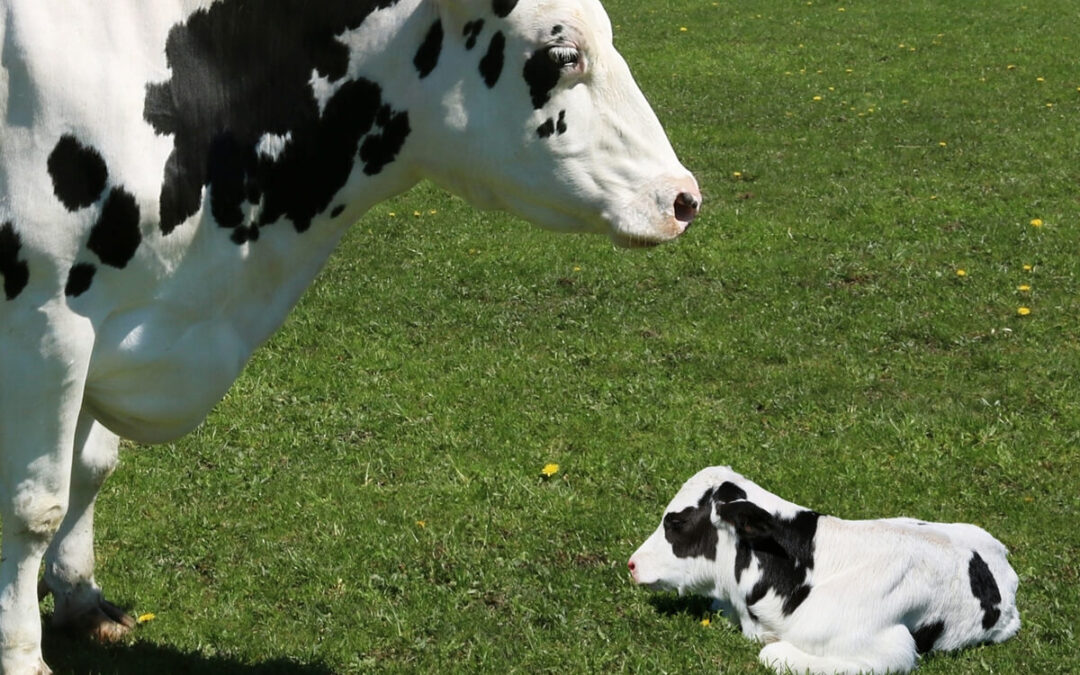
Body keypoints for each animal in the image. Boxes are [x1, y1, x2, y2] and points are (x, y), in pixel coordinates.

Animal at [0, 1, 699, 669]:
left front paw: (81, 600)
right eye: (563, 53)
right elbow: (34, 506)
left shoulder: (109, 322)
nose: (684, 198)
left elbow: (90, 470)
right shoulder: (45, 321)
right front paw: (24, 654)